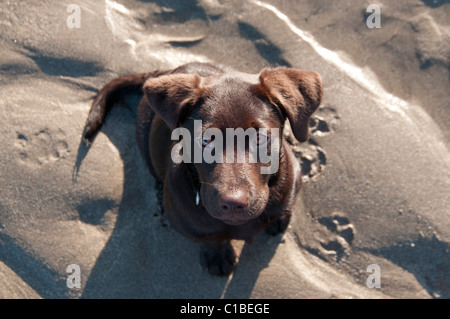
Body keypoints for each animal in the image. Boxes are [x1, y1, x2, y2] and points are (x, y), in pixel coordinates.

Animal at [84, 63, 322, 278]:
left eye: (260, 138)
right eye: (206, 140)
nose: (233, 203)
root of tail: (164, 71)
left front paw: (281, 217)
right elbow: (211, 235)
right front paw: (217, 256)